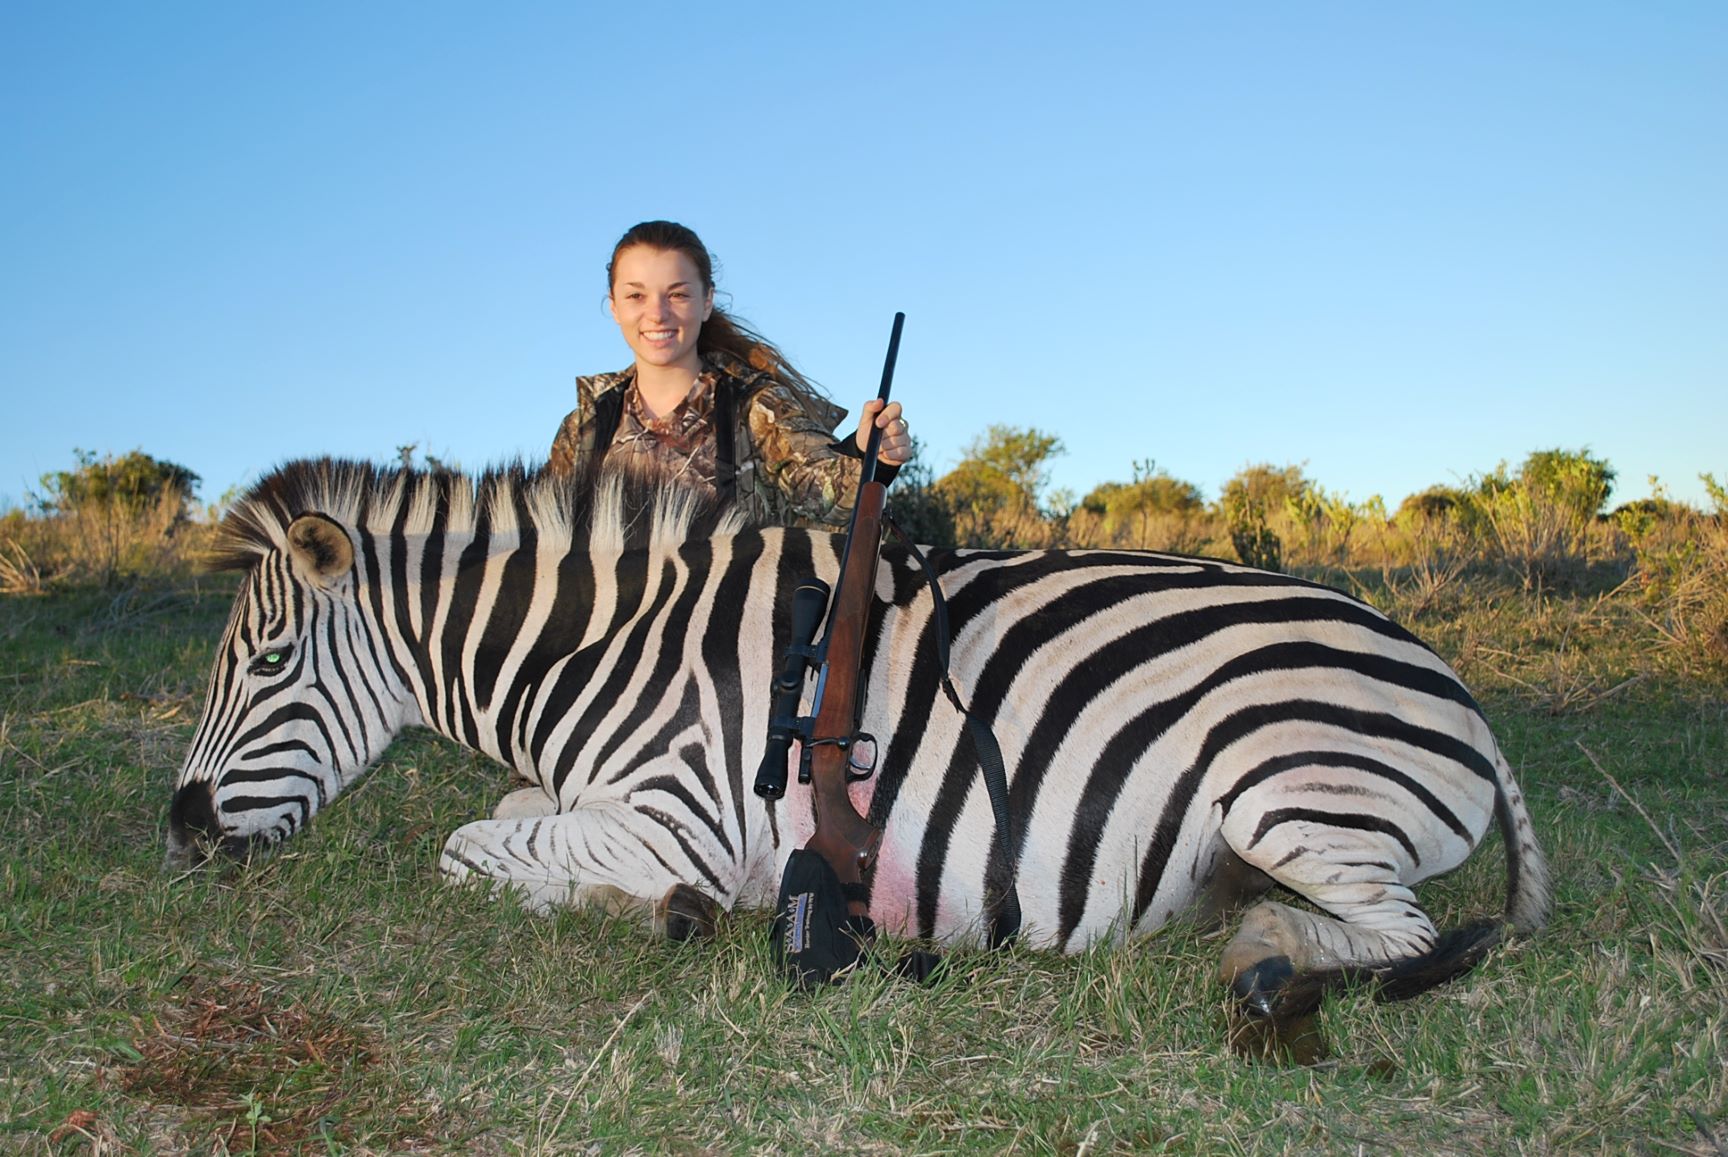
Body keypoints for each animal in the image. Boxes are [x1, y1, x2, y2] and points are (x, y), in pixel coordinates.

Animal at [168, 459, 1555, 1036]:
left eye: (265, 664)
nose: (179, 833)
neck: (618, 649)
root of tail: (1464, 698)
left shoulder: (679, 812)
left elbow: (464, 845)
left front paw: (669, 909)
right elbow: (504, 816)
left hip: (1287, 793)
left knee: (1407, 934)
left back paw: (1270, 962)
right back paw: (1251, 926)